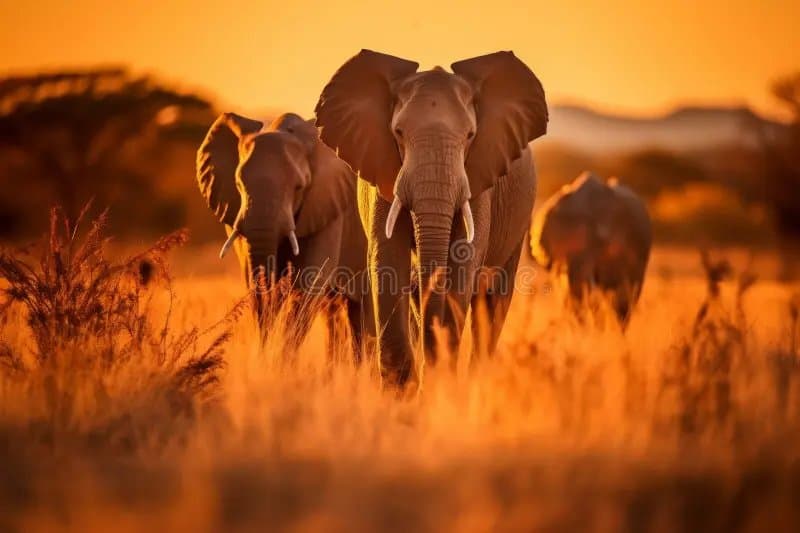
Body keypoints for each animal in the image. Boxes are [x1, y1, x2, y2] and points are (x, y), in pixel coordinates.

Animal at [196, 111, 370, 347]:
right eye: (238, 185)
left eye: (299, 187)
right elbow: (254, 283)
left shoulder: (327, 205)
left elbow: (308, 284)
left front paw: (278, 354)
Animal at [315, 49, 548, 384]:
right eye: (398, 133)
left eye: (470, 135)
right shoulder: (384, 172)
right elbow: (387, 260)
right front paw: (402, 389)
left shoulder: (479, 180)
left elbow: (463, 263)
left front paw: (440, 382)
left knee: (492, 303)